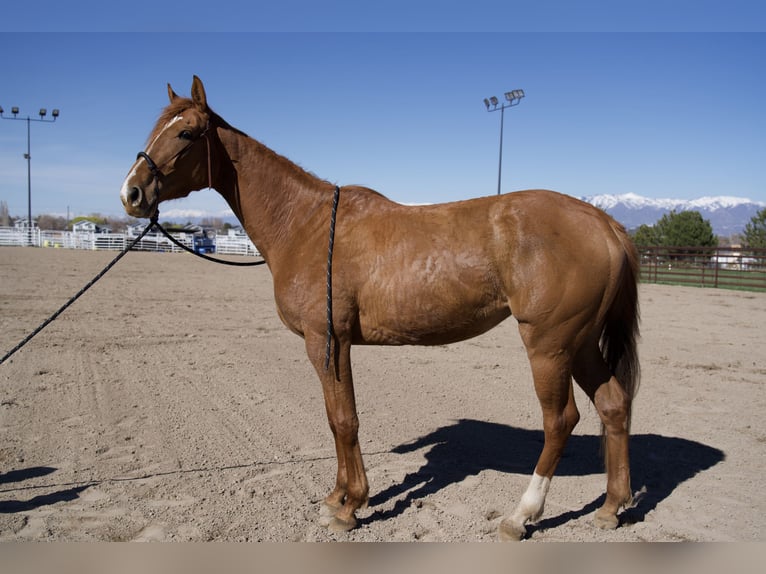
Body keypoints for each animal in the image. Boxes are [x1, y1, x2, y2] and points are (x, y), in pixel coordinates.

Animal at [120, 75, 640, 540]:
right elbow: (335, 419)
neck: (304, 225)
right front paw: (336, 497)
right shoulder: (333, 346)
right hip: (580, 344)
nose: (131, 193)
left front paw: (351, 506)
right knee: (613, 405)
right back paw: (611, 507)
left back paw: (521, 516)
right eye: (155, 131)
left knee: (560, 421)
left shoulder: (327, 341)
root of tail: (603, 223)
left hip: (549, 346)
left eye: (187, 133)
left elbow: (344, 419)